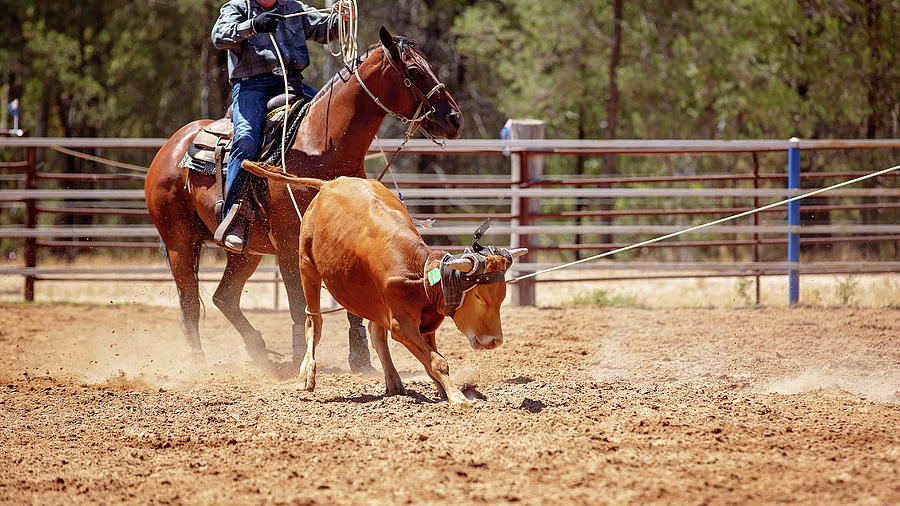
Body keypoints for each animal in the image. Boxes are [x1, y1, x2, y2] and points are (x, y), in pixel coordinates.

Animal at [146, 28, 464, 376]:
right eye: (414, 71)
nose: (455, 119)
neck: (320, 150)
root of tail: (171, 147)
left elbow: (353, 304)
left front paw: (360, 359)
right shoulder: (288, 246)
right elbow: (299, 305)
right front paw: (301, 353)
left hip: (246, 253)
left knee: (223, 298)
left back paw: (258, 350)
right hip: (179, 242)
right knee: (190, 301)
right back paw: (198, 362)